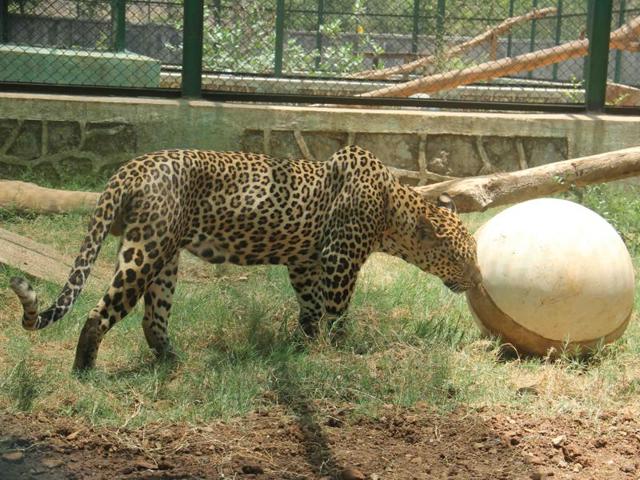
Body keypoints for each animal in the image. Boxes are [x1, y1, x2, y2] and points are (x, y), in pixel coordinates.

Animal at [10, 146, 480, 372]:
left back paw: (173, 361)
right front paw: (343, 350)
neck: (394, 210)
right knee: (99, 313)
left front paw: (306, 345)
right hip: (145, 250)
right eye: (464, 259)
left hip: (164, 256)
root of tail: (130, 168)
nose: (476, 282)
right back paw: (84, 371)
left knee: (152, 317)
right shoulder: (340, 259)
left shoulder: (305, 262)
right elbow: (337, 310)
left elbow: (310, 308)